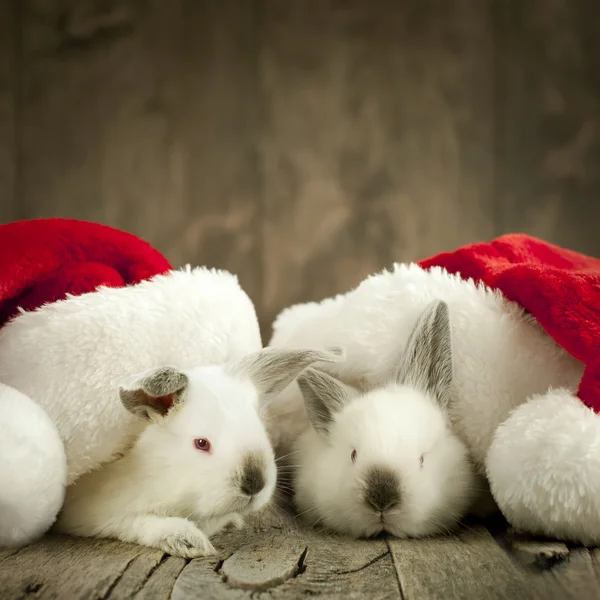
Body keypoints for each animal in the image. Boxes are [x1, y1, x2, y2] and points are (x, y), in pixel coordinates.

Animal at [55, 344, 342, 560]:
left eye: (260, 427)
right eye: (201, 443)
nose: (254, 484)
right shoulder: (92, 513)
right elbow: (136, 523)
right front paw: (188, 541)